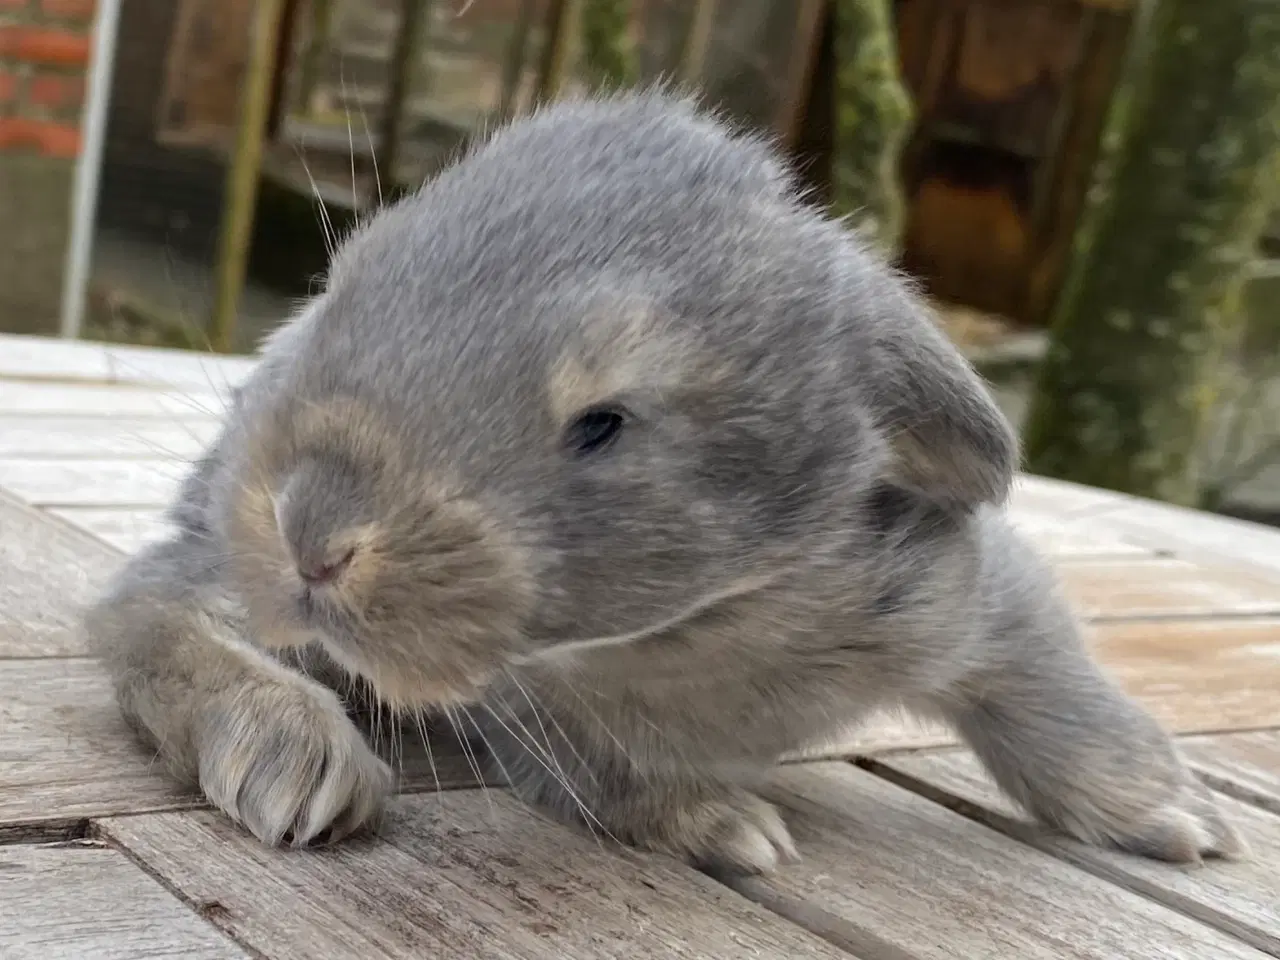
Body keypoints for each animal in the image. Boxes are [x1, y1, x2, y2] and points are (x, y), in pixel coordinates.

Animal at [87, 92, 1239, 880]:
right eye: (340, 297)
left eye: (604, 423)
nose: (310, 528)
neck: (698, 629)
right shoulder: (543, 720)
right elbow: (615, 779)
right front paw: (726, 828)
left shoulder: (972, 601)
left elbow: (1051, 699)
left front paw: (1171, 816)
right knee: (148, 614)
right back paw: (297, 761)